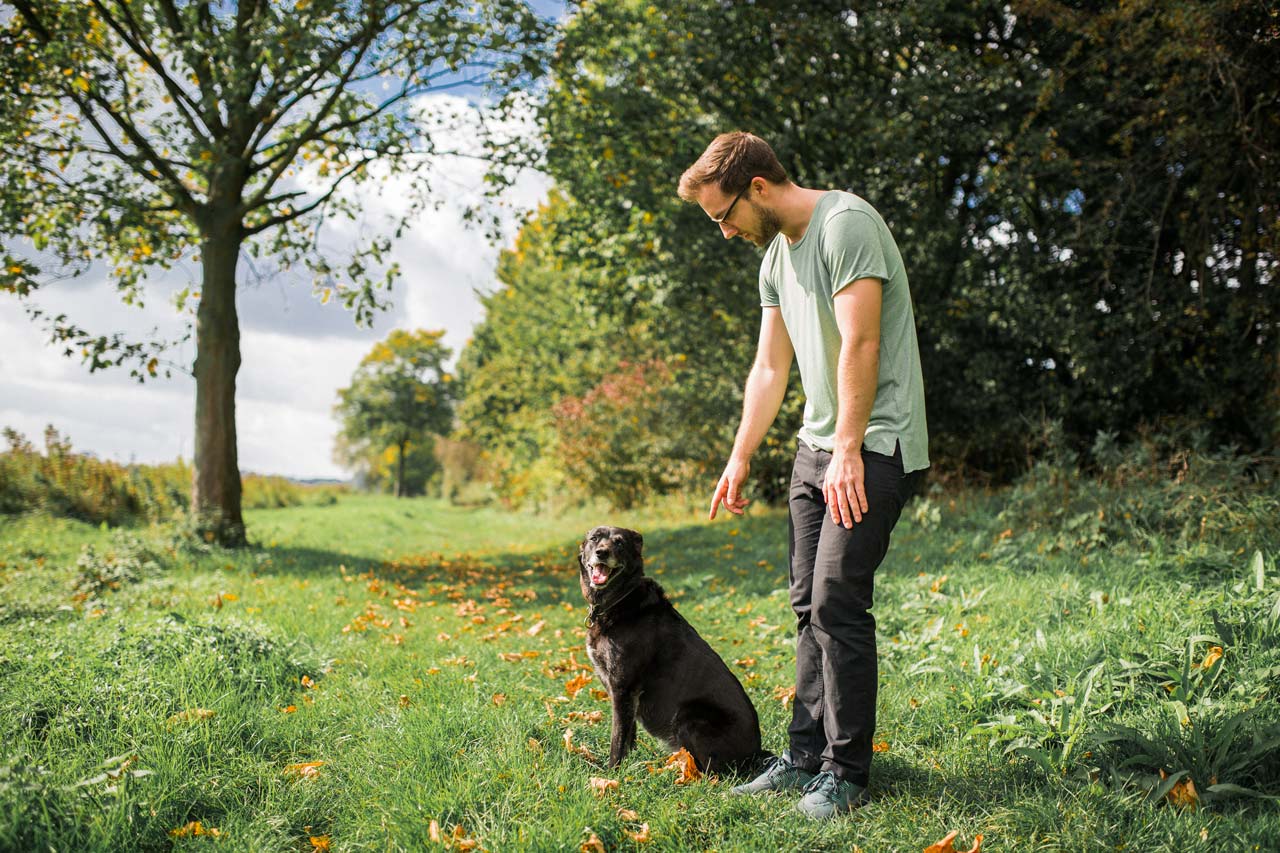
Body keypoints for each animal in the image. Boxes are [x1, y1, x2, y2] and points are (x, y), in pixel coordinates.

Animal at [578, 525, 757, 768]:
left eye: (619, 543)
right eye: (594, 538)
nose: (602, 553)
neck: (620, 599)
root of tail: (757, 753)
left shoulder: (623, 687)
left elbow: (618, 737)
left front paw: (612, 770)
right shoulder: (623, 693)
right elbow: (629, 733)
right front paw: (630, 763)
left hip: (688, 716)